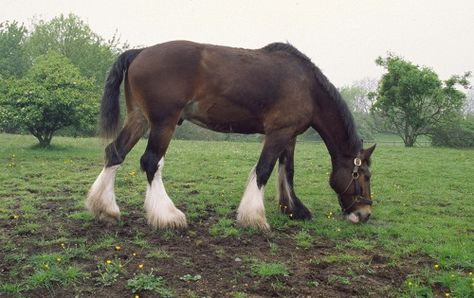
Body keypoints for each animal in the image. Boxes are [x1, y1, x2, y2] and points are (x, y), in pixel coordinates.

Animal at [87, 40, 376, 230]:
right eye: (364, 175)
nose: (365, 213)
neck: (307, 86)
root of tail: (139, 52)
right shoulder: (277, 133)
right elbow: (264, 170)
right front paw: (254, 217)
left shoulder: (289, 135)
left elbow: (287, 171)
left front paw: (294, 209)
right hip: (163, 123)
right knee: (150, 162)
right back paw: (168, 215)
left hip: (139, 119)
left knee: (115, 153)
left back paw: (106, 209)